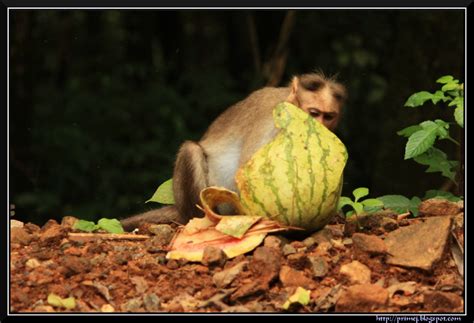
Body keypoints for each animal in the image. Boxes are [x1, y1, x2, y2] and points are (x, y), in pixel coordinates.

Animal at [120, 72, 346, 232]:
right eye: (314, 113)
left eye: (328, 116)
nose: (320, 127)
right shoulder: (272, 121)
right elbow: (244, 174)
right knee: (190, 150)